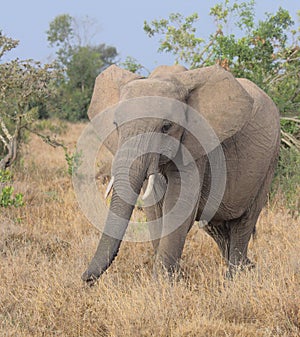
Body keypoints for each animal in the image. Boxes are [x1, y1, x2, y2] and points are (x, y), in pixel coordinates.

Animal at [81, 63, 280, 284]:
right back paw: (247, 268)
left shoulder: (196, 146)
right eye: (116, 125)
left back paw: (235, 278)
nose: (85, 279)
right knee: (214, 225)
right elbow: (154, 208)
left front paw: (163, 284)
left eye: (166, 127)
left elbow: (180, 205)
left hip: (269, 162)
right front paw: (171, 279)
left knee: (244, 222)